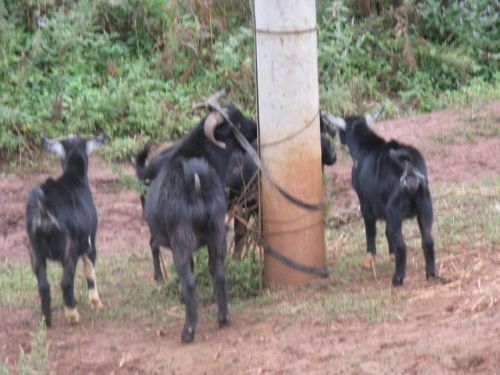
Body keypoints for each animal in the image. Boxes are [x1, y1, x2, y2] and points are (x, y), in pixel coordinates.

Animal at [25, 134, 105, 328]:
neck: (73, 177)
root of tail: (44, 206)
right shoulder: (89, 242)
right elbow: (90, 270)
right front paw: (96, 303)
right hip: (70, 248)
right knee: (66, 282)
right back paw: (72, 315)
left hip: (35, 250)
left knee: (43, 285)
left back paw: (46, 320)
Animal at [136, 100, 256, 344]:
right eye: (237, 123)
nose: (256, 129)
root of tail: (195, 179)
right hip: (217, 233)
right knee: (219, 273)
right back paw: (223, 317)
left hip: (180, 239)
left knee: (187, 279)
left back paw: (188, 331)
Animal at [324, 113, 438, 286]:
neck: (365, 146)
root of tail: (409, 170)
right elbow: (387, 232)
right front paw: (391, 255)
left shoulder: (366, 205)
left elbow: (371, 231)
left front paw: (368, 260)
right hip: (425, 207)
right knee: (427, 240)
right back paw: (431, 273)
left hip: (395, 212)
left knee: (402, 245)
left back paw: (397, 279)